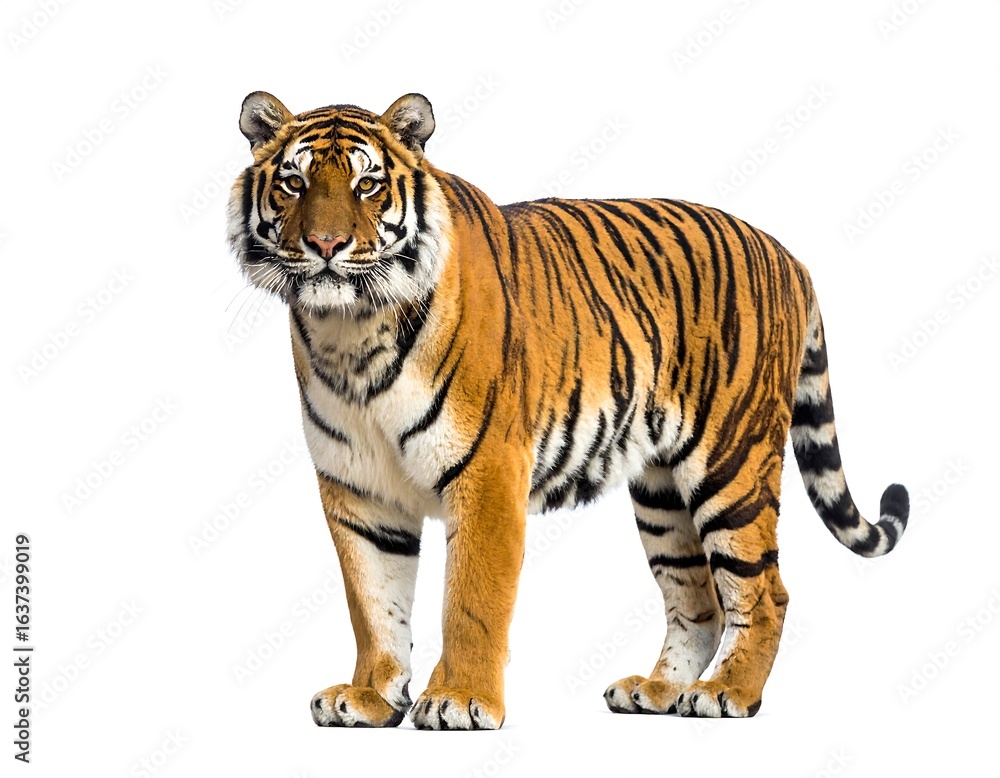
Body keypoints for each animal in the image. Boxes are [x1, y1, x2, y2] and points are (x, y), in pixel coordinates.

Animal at [226, 91, 909, 729]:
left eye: (367, 184)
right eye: (294, 183)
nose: (325, 244)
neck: (350, 332)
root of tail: (788, 254)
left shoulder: (488, 472)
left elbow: (471, 599)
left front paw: (459, 700)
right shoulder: (358, 489)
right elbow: (373, 603)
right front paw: (369, 696)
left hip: (730, 462)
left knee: (764, 591)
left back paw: (726, 694)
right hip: (661, 491)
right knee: (699, 601)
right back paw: (656, 691)